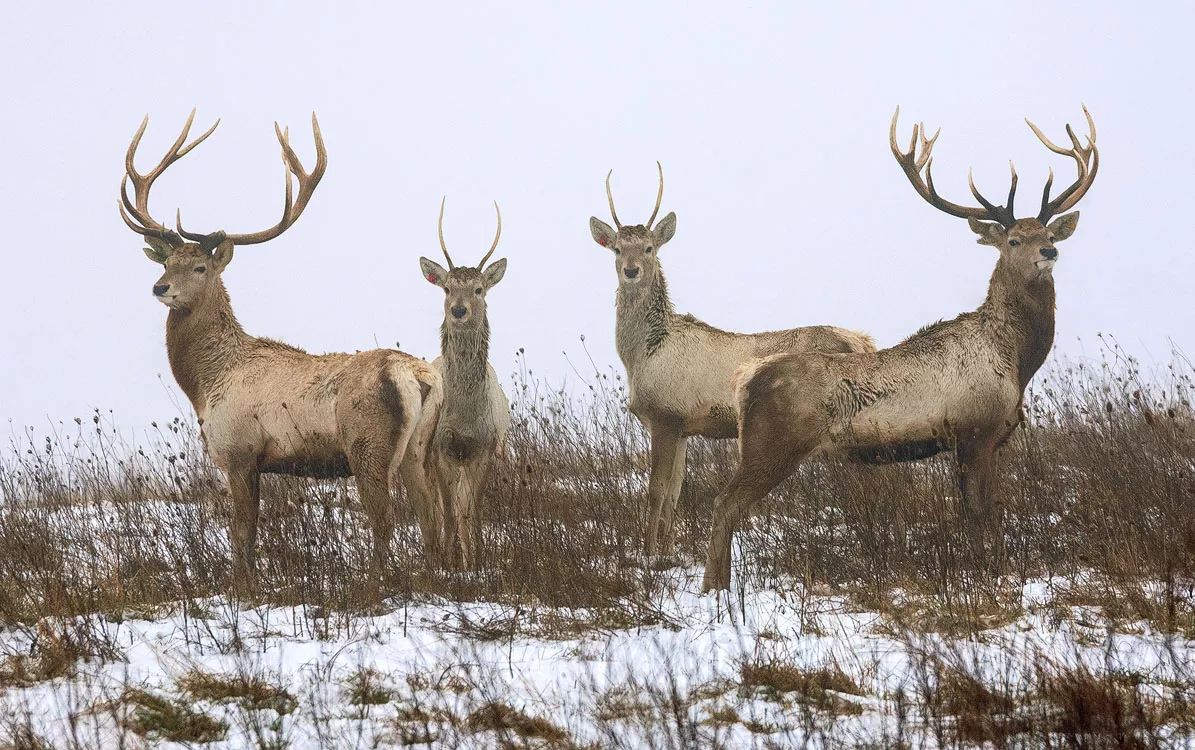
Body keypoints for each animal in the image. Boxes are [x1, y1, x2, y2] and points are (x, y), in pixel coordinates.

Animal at [118, 111, 446, 592]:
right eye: (166, 263)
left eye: (199, 267)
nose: (160, 288)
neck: (207, 385)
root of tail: (419, 377)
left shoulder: (239, 451)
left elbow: (242, 533)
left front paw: (244, 589)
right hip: (418, 448)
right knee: (430, 514)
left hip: (368, 443)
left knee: (385, 519)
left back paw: (372, 587)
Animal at [418, 195, 511, 566]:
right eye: (446, 287)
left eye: (479, 288)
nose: (459, 310)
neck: (465, 419)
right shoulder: (440, 448)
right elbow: (447, 509)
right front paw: (449, 561)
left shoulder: (485, 448)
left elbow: (471, 511)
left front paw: (475, 561)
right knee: (435, 506)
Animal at [590, 166, 879, 563]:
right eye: (617, 248)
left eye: (649, 248)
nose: (631, 270)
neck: (642, 356)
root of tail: (863, 342)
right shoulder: (684, 425)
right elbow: (674, 493)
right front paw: (667, 550)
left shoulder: (665, 415)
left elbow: (655, 492)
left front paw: (647, 555)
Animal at [697, 106, 1099, 592]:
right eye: (1013, 240)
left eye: (1046, 232)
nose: (1049, 252)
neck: (1015, 360)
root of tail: (744, 380)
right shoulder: (975, 429)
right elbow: (982, 515)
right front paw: (993, 574)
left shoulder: (983, 439)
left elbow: (983, 512)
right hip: (771, 444)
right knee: (724, 503)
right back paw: (714, 589)